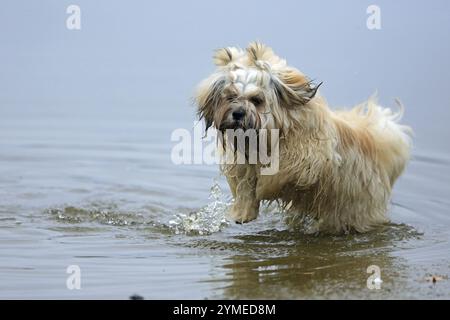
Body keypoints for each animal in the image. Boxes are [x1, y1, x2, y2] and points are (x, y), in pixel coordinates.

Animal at [193, 42, 412, 232]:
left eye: (257, 100)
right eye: (230, 96)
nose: (238, 113)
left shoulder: (308, 159)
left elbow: (277, 174)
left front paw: (263, 187)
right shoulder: (243, 163)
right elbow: (246, 184)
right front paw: (242, 213)